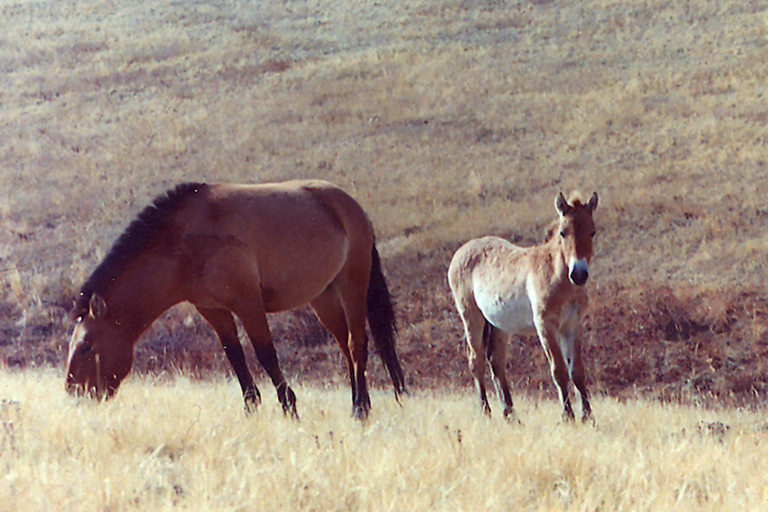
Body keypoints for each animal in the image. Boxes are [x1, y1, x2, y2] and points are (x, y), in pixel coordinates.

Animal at [64, 180, 408, 420]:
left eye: (86, 347)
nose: (73, 393)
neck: (184, 242)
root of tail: (351, 206)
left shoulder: (248, 304)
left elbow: (266, 354)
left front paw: (289, 408)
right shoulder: (213, 310)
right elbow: (235, 356)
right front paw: (251, 407)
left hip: (352, 286)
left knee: (357, 343)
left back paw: (360, 409)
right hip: (323, 298)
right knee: (345, 347)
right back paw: (358, 403)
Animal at [450, 192, 600, 424]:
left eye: (592, 232)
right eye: (563, 233)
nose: (579, 274)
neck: (558, 277)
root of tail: (461, 251)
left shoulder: (572, 325)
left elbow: (576, 371)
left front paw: (587, 417)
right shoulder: (545, 326)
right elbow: (559, 370)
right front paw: (567, 416)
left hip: (500, 325)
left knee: (496, 361)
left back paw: (510, 414)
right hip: (471, 317)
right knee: (476, 361)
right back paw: (486, 412)